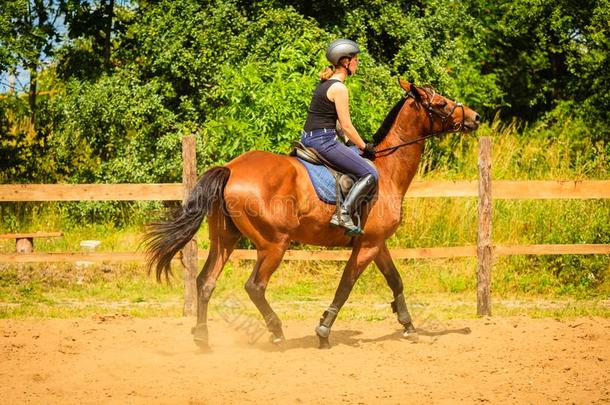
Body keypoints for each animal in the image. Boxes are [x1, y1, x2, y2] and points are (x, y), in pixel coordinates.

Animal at [145, 79, 478, 348]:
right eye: (440, 103)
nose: (475, 118)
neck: (387, 170)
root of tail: (231, 169)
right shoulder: (368, 245)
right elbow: (345, 286)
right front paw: (323, 331)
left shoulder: (376, 243)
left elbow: (395, 280)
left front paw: (408, 324)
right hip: (274, 244)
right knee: (255, 286)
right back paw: (277, 332)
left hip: (225, 239)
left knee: (206, 282)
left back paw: (202, 337)